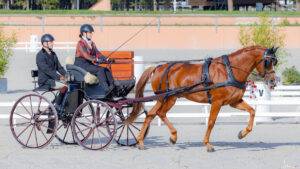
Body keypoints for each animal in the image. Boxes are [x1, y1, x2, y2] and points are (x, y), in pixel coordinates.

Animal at [125, 45, 278, 151]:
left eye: (274, 62)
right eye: (267, 62)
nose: (273, 81)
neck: (229, 70)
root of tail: (158, 67)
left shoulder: (234, 102)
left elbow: (252, 111)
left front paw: (242, 133)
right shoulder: (217, 102)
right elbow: (211, 122)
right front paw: (207, 144)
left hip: (163, 98)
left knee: (151, 114)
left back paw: (141, 141)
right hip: (169, 98)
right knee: (160, 113)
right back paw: (173, 136)